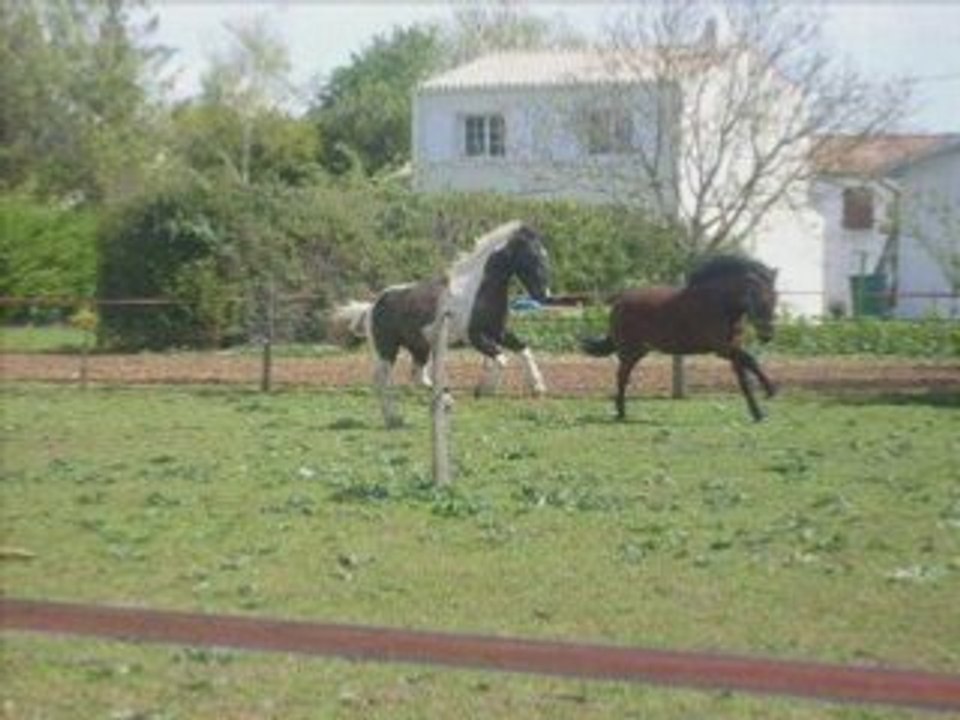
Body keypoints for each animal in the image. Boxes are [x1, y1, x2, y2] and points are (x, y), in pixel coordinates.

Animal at [333, 220, 551, 428]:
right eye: (531, 256)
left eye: (544, 255)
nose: (543, 294)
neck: (476, 292)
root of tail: (371, 306)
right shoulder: (475, 337)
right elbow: (502, 359)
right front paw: (484, 390)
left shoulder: (499, 332)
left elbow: (524, 350)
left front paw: (538, 387)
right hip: (387, 349)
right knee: (382, 381)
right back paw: (394, 418)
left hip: (420, 348)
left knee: (418, 377)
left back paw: (443, 398)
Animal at [581, 254, 779, 422]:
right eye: (761, 300)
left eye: (775, 299)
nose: (767, 335)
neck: (720, 305)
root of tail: (619, 303)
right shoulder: (721, 348)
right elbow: (751, 360)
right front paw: (771, 391)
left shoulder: (732, 347)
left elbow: (744, 378)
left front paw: (758, 413)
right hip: (630, 351)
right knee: (622, 376)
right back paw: (621, 413)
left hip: (640, 350)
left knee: (622, 376)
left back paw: (621, 411)